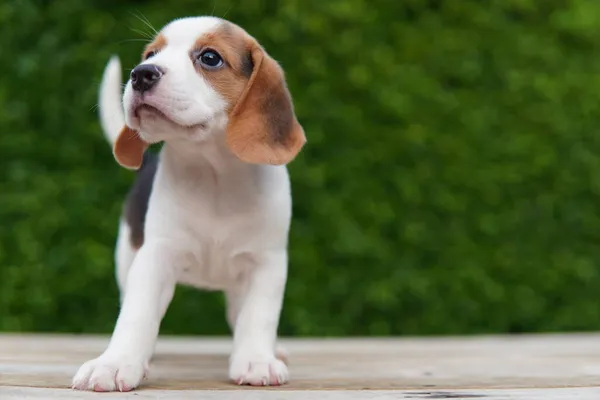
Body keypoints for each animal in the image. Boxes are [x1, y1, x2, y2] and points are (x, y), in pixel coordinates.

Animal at [71, 17, 304, 392]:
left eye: (210, 58)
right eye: (150, 54)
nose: (141, 73)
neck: (213, 173)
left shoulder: (266, 262)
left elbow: (258, 315)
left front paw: (256, 359)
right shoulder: (155, 257)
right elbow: (136, 314)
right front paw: (114, 363)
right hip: (126, 256)